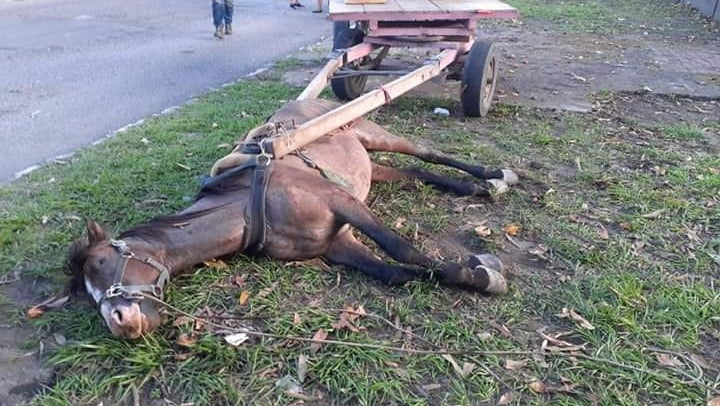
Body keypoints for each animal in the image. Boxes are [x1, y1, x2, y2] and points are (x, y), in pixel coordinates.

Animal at [66, 99, 519, 339]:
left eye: (101, 261)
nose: (120, 323)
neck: (248, 205)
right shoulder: (338, 244)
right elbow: (398, 275)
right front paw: (471, 270)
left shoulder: (341, 202)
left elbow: (402, 248)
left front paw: (483, 275)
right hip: (370, 166)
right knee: (415, 172)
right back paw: (476, 189)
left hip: (374, 132)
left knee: (427, 153)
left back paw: (494, 176)